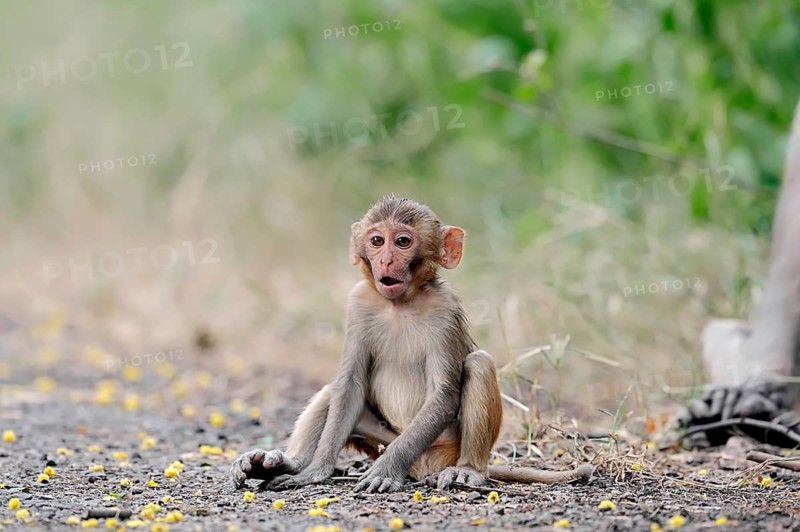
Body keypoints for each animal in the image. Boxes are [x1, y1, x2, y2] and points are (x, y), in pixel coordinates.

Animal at [231, 196, 593, 493]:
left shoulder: (445, 310)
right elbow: (350, 385)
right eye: (377, 241)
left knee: (478, 363)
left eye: (403, 241)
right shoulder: (358, 304)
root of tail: (424, 466)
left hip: (443, 446)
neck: (400, 304)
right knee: (333, 391)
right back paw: (284, 462)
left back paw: (468, 471)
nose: (387, 261)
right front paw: (314, 472)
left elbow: (443, 393)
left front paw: (386, 471)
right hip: (381, 438)